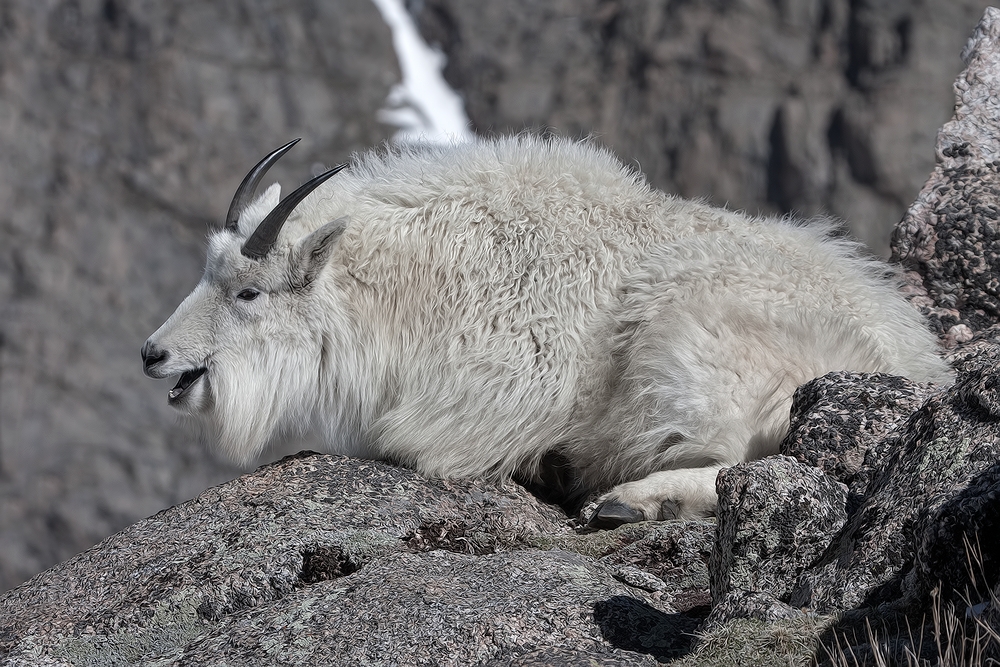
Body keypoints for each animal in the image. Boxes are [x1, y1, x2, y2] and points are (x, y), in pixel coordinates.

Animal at [143, 137, 952, 528]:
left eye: (248, 291)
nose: (155, 354)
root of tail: (922, 367)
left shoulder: (491, 394)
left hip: (695, 341)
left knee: (740, 461)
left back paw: (626, 500)